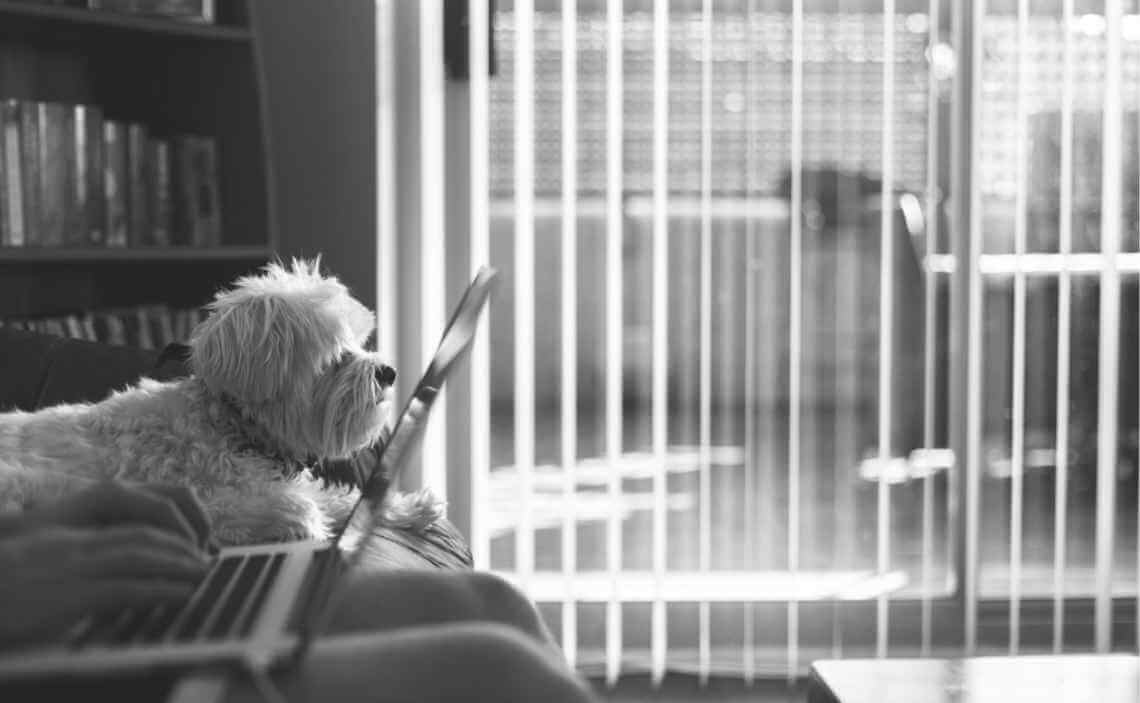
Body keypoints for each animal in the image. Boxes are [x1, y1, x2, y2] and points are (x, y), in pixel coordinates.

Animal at [0, 260, 440, 544]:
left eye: (359, 341)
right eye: (335, 355)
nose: (388, 372)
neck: (230, 426)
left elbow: (339, 497)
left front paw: (410, 508)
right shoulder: (204, 498)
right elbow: (291, 507)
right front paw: (300, 521)